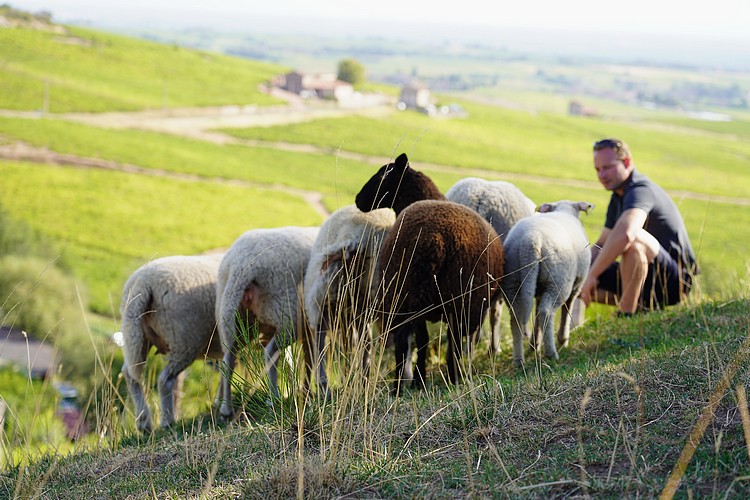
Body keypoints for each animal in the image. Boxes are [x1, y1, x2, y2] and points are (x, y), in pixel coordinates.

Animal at [120, 254, 225, 434]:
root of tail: (143, 282)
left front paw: (220, 402)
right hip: (186, 339)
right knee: (165, 380)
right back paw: (167, 421)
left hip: (135, 334)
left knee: (131, 374)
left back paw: (144, 422)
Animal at [214, 227, 318, 418]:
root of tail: (241, 266)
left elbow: (308, 359)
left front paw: (306, 390)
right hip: (286, 315)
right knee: (270, 353)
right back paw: (275, 398)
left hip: (232, 319)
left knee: (228, 360)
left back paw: (226, 409)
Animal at [502, 200, 596, 368]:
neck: (565, 210)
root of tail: (530, 241)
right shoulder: (576, 287)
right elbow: (567, 310)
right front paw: (563, 340)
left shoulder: (539, 290)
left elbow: (536, 315)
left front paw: (534, 343)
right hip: (557, 281)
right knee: (546, 311)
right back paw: (552, 353)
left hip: (513, 281)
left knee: (517, 317)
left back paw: (519, 360)